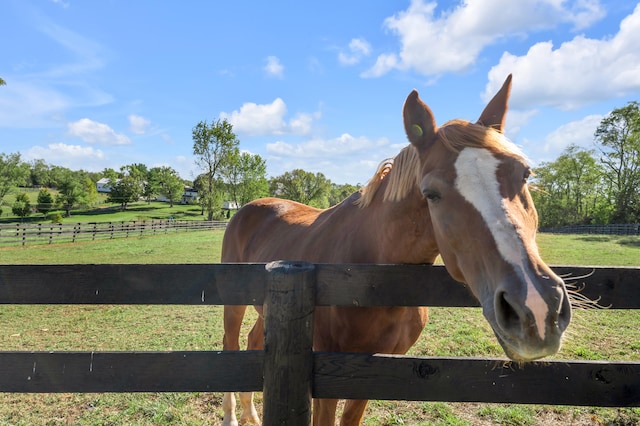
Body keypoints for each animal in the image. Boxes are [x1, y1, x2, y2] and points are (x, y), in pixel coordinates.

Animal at [220, 75, 568, 424]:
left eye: (524, 174)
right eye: (431, 193)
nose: (536, 308)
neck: (368, 277)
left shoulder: (373, 369)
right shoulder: (325, 375)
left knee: (253, 341)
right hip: (234, 305)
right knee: (231, 347)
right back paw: (232, 416)